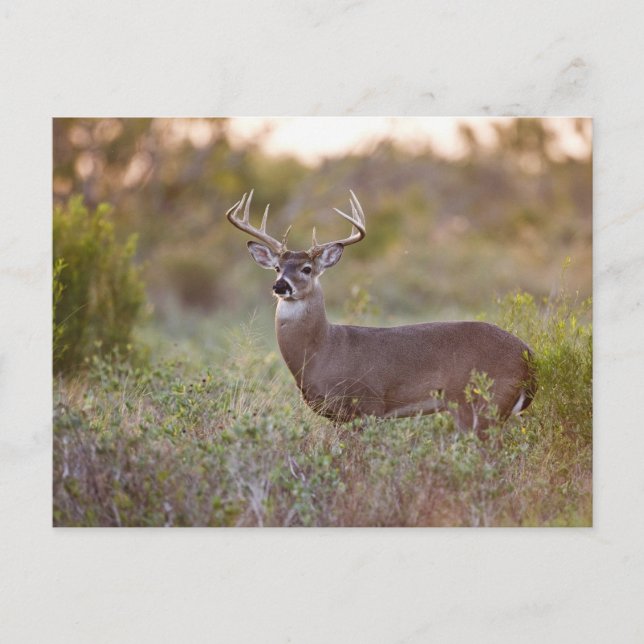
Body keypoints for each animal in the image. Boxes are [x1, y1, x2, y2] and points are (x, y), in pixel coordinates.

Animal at [226, 189, 536, 434]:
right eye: (278, 267)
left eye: (306, 268)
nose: (280, 285)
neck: (322, 351)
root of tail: (529, 356)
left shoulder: (368, 405)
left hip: (481, 404)